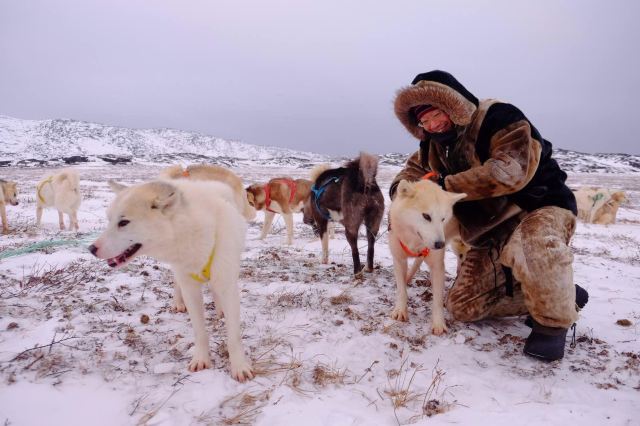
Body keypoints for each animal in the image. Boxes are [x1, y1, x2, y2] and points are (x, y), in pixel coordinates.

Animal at [89, 178, 254, 382]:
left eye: (124, 222)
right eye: (109, 220)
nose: (91, 249)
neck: (191, 230)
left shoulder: (228, 285)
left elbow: (233, 337)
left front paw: (239, 366)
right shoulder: (190, 289)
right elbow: (200, 332)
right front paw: (201, 358)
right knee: (177, 285)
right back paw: (178, 303)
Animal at [388, 178, 468, 334]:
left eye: (443, 219)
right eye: (426, 216)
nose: (440, 244)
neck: (414, 241)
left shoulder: (437, 266)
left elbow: (437, 300)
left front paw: (438, 323)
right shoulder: (399, 260)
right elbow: (401, 290)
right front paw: (400, 310)